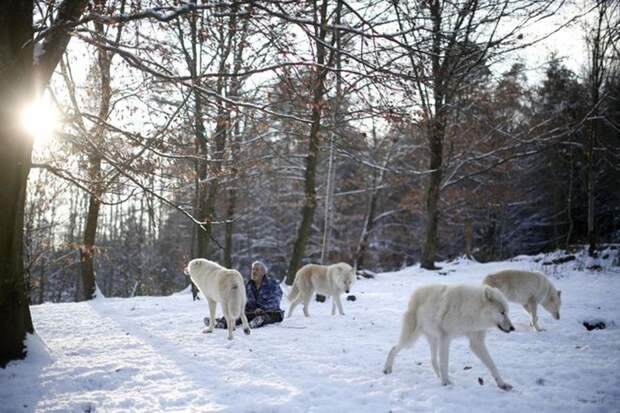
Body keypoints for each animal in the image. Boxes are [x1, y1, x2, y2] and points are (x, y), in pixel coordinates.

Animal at [382, 284, 512, 390]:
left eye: (507, 312)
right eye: (502, 312)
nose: (512, 328)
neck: (471, 309)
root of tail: (415, 293)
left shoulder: (476, 343)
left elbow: (492, 365)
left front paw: (502, 384)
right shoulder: (446, 338)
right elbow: (445, 363)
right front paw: (446, 383)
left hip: (433, 340)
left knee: (433, 360)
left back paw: (438, 376)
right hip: (411, 340)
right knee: (393, 348)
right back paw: (387, 369)